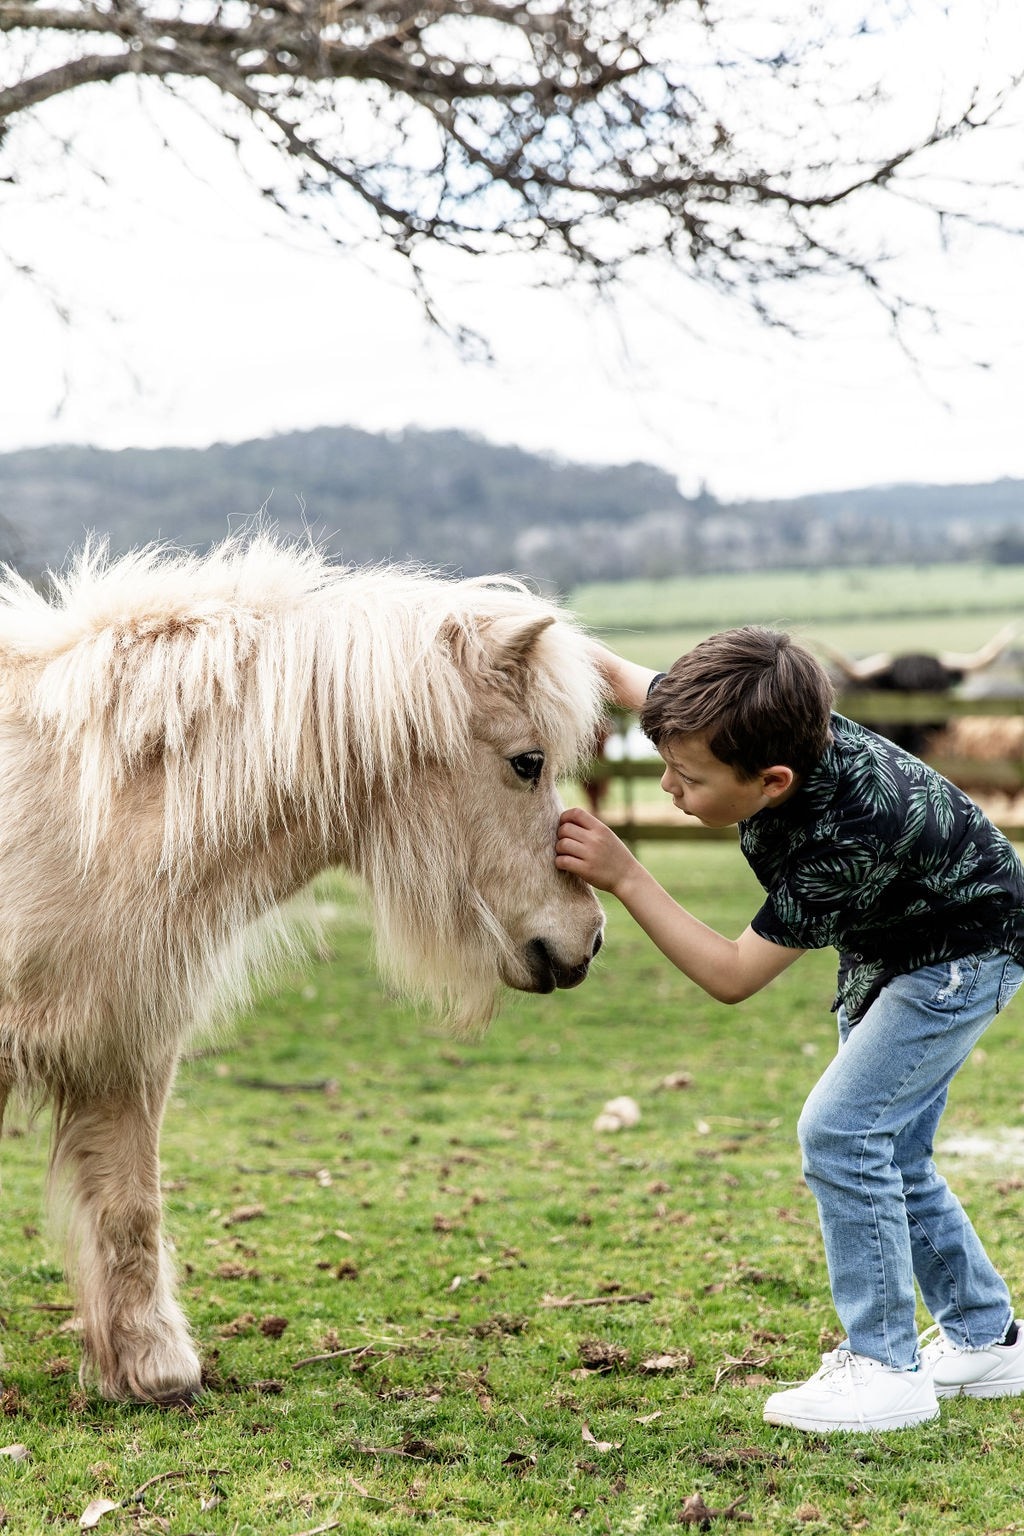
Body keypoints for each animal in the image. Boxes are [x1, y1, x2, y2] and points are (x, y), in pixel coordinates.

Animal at [0, 537, 607, 1406]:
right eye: (528, 763)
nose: (587, 937)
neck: (82, 813)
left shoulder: (124, 1046)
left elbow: (130, 1207)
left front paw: (155, 1371)